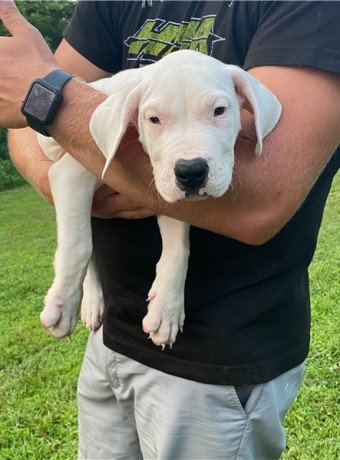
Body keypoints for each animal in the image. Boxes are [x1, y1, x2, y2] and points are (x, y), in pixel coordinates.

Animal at [37, 50, 282, 348]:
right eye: (153, 119)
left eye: (220, 111)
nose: (191, 172)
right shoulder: (71, 173)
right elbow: (78, 245)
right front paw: (63, 303)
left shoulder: (168, 193)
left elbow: (178, 248)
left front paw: (166, 308)